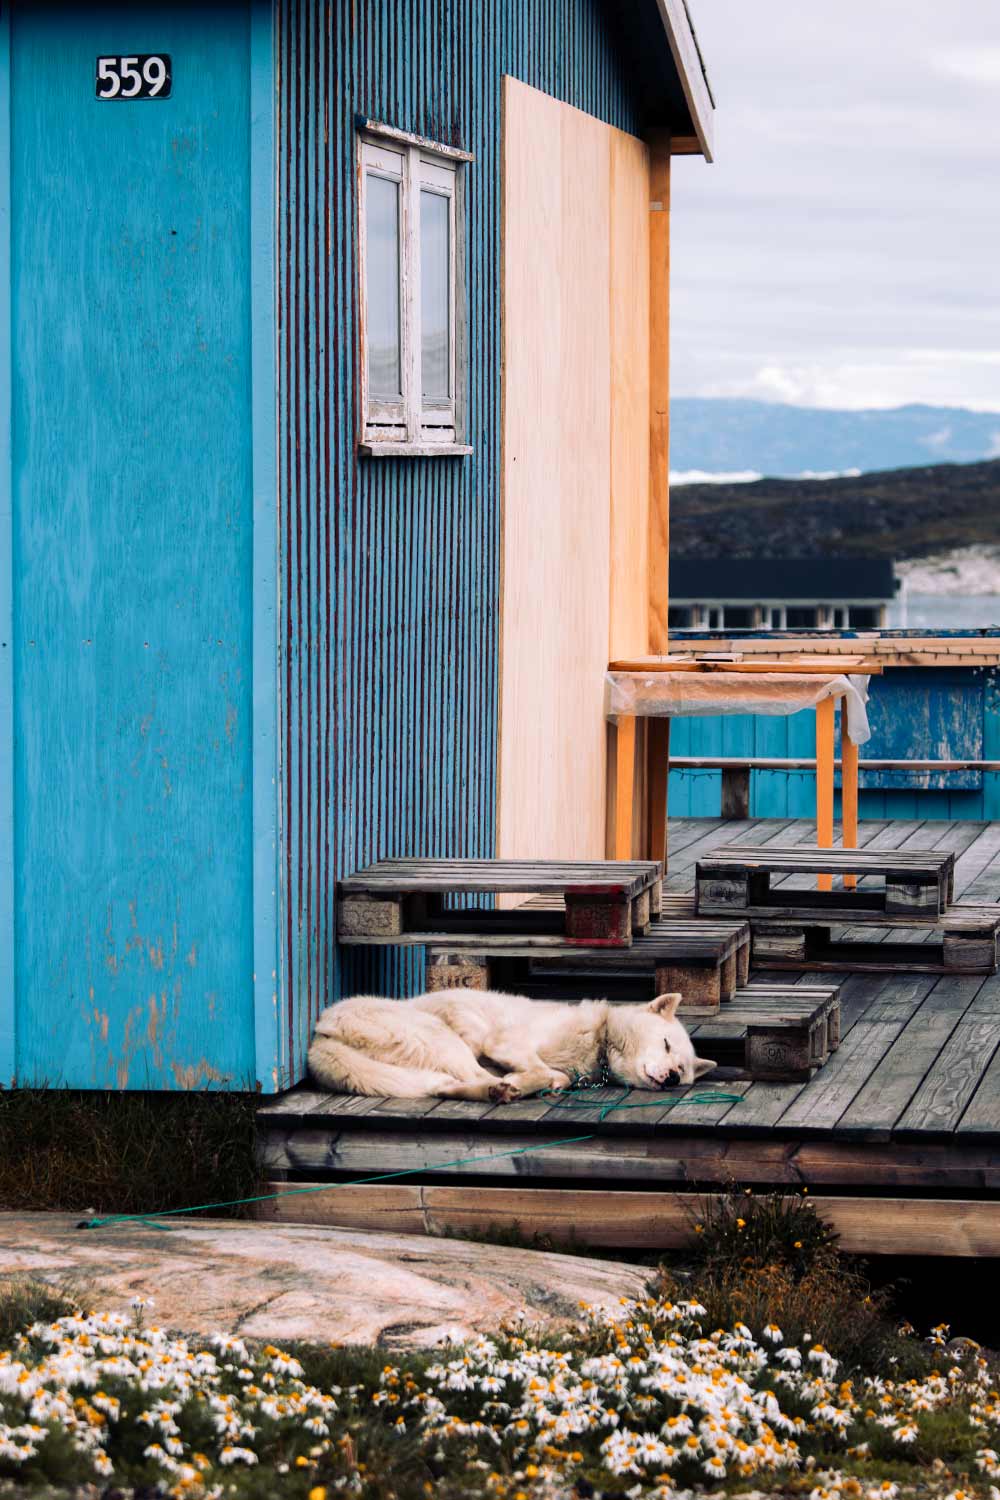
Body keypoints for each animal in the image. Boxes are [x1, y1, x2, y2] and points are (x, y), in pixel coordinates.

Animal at [308, 990, 716, 1110]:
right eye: (665, 1044)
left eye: (682, 1069)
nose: (672, 1077)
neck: (598, 1041)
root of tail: (321, 1035)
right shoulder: (505, 1044)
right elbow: (544, 1069)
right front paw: (528, 1080)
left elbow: (556, 1075)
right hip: (439, 1036)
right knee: (468, 1073)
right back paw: (503, 1087)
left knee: (445, 1086)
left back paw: (496, 1089)